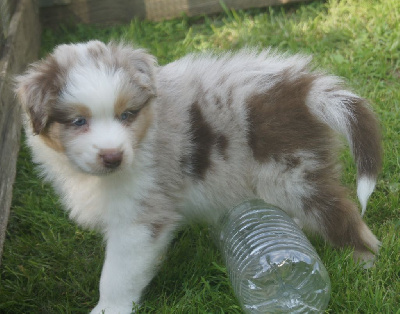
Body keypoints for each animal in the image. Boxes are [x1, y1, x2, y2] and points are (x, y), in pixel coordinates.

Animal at [14, 40, 382, 312]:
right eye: (78, 121)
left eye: (127, 114)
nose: (112, 156)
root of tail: (301, 89)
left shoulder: (141, 220)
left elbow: (117, 274)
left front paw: (108, 308)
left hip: (292, 176)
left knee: (340, 212)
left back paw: (364, 260)